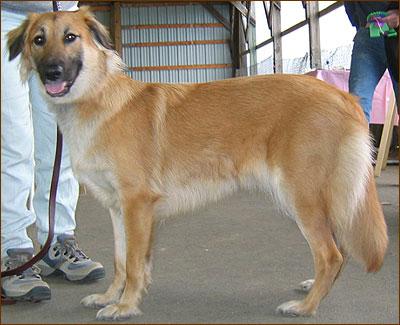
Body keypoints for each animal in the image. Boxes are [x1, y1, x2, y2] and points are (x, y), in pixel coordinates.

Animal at [6, 6, 388, 318]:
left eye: (70, 37)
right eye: (38, 40)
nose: (52, 72)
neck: (99, 98)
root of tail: (341, 95)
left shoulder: (137, 205)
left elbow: (133, 263)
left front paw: (126, 306)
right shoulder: (119, 209)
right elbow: (121, 261)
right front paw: (111, 297)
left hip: (301, 196)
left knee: (331, 254)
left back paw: (306, 307)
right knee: (336, 249)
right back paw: (314, 288)